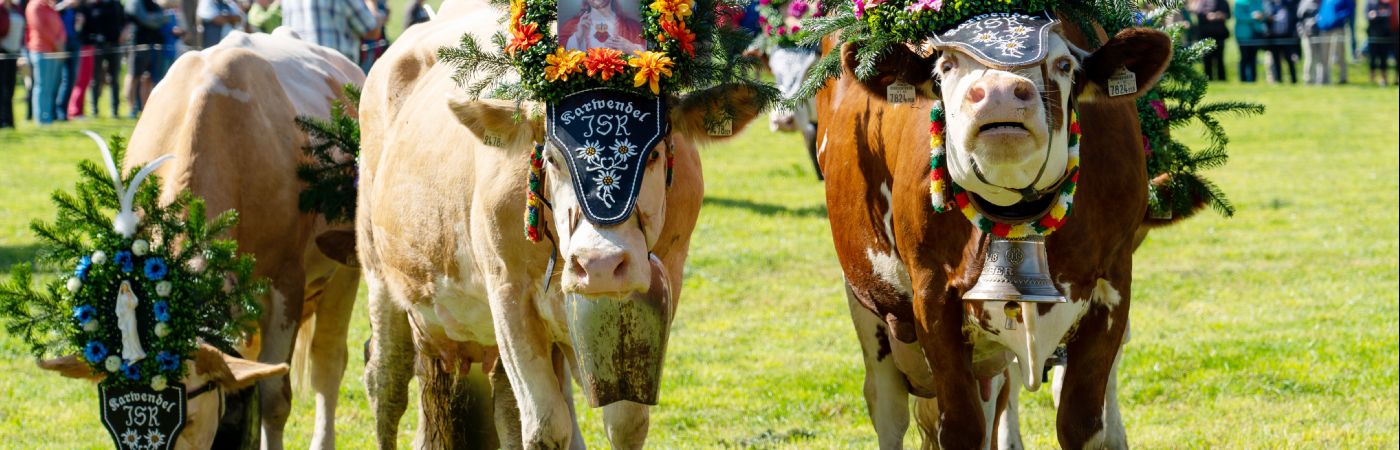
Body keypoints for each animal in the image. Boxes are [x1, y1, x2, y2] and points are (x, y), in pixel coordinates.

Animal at [352, 1, 767, 445]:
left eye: (653, 153)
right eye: (551, 157)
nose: (600, 264)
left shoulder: (658, 286)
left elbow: (625, 421)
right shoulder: (508, 294)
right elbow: (546, 425)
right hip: (380, 275)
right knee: (385, 382)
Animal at [817, 14, 1181, 448]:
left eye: (1064, 65)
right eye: (946, 66)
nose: (1001, 92)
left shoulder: (1113, 287)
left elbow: (1082, 423)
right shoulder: (931, 295)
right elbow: (961, 428)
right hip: (868, 304)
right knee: (888, 409)